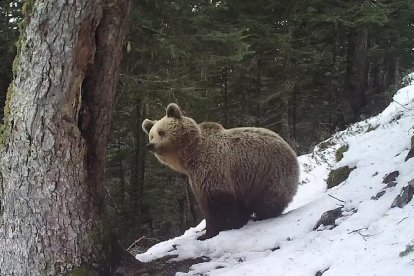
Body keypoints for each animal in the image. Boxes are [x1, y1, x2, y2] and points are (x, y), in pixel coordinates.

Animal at [142, 103, 298, 239]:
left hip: (268, 172)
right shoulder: (196, 176)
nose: (150, 145)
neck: (191, 154)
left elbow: (217, 201)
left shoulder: (212, 165)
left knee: (267, 200)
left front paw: (211, 232)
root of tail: (290, 149)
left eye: (161, 132)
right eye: (151, 135)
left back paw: (261, 215)